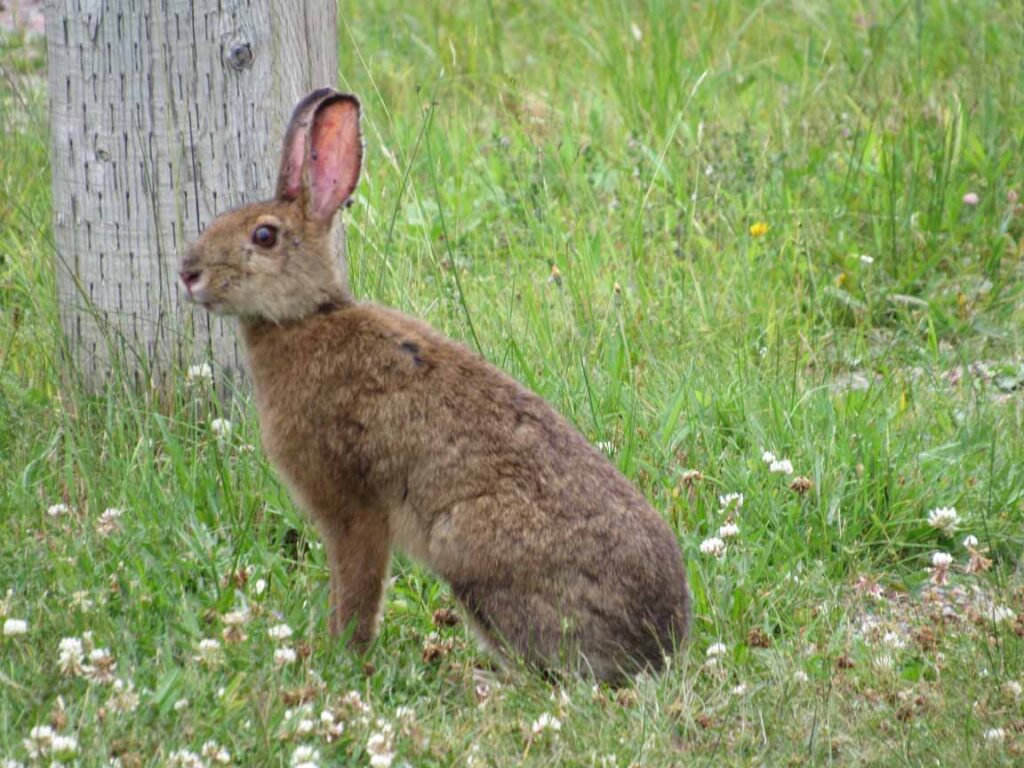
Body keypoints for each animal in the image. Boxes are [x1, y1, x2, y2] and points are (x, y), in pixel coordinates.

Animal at [180, 87, 692, 684]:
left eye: (264, 236)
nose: (188, 273)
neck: (304, 318)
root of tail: (660, 643)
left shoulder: (353, 511)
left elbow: (358, 588)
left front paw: (342, 653)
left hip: (467, 547)